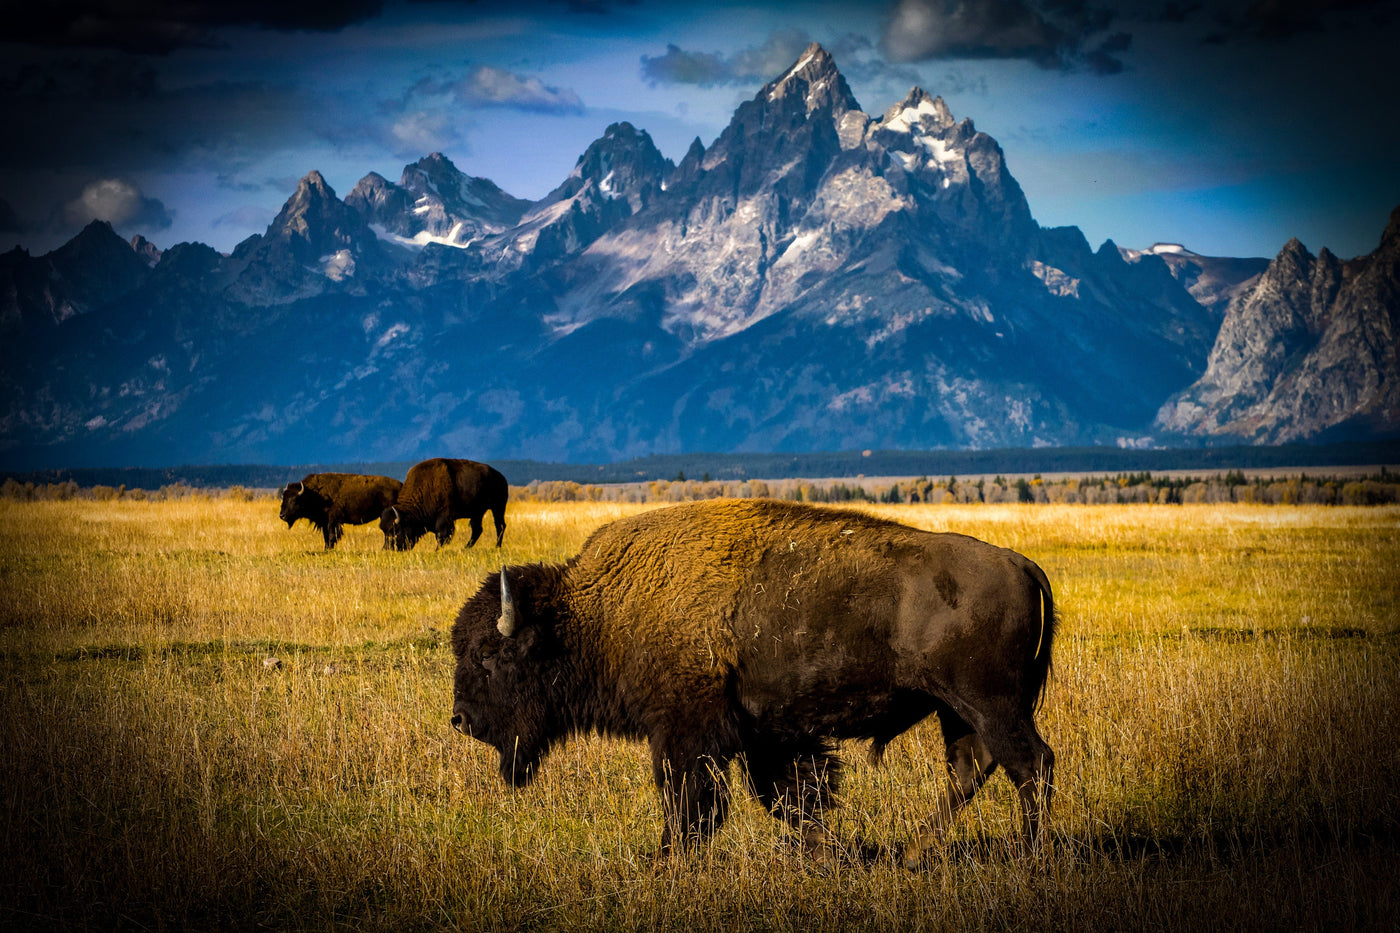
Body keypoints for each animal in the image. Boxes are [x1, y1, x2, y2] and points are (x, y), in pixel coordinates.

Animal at [449, 498, 1055, 865]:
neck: (592, 613)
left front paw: (664, 858)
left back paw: (1030, 856)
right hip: (957, 709)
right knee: (972, 767)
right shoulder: (767, 734)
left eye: (488, 655)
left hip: (989, 704)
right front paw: (830, 852)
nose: (461, 719)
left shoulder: (688, 731)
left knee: (1030, 764)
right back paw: (912, 853)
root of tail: (1021, 563)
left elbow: (689, 796)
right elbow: (788, 796)